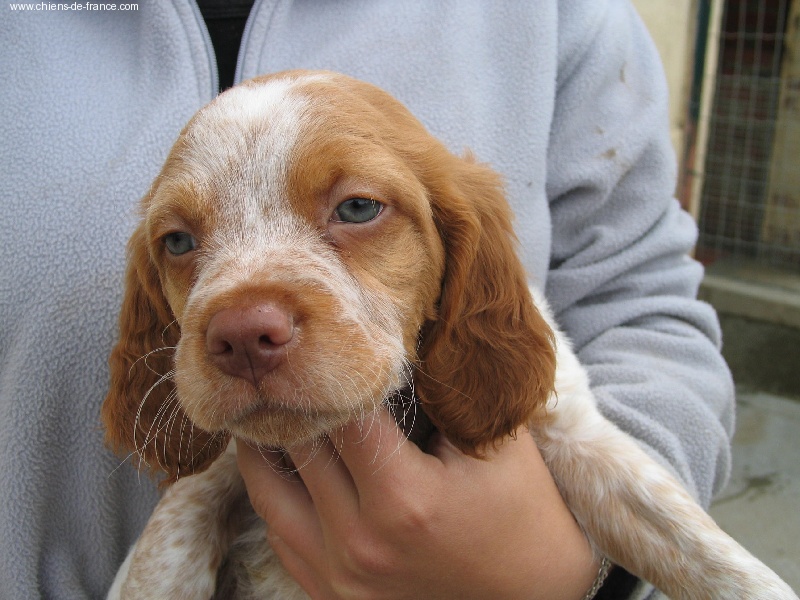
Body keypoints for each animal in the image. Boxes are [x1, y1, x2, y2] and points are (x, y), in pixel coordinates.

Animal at [103, 71, 796, 600]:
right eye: (178, 241)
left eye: (358, 208)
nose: (242, 336)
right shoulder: (220, 468)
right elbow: (167, 545)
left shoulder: (576, 434)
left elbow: (710, 554)